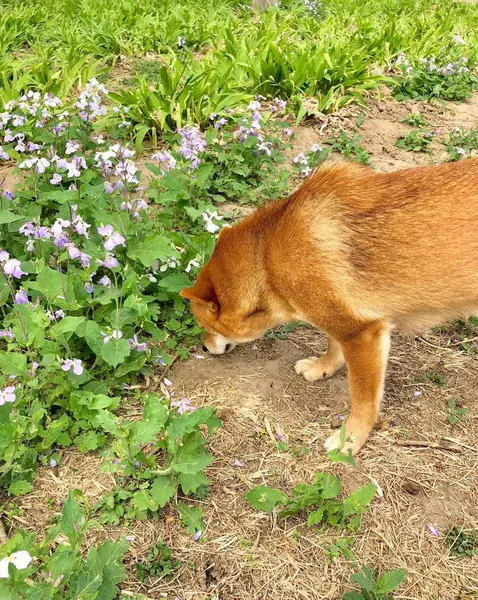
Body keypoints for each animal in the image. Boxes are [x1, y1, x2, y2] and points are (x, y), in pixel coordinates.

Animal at [180, 159, 478, 454]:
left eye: (205, 325)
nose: (203, 348)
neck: (266, 257)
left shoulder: (362, 335)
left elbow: (363, 401)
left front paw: (351, 438)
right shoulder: (338, 321)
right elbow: (333, 345)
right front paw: (322, 367)